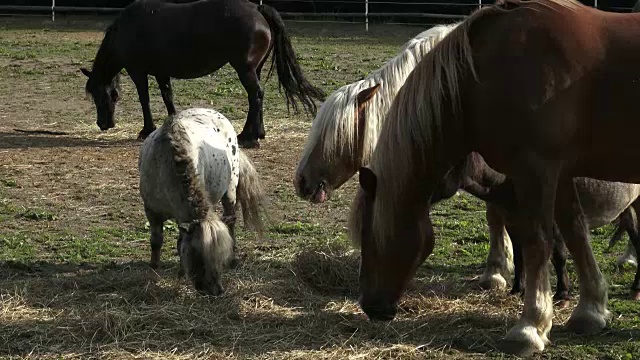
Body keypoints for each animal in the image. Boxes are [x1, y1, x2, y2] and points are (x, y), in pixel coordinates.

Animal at [81, 0, 324, 148]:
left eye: (100, 95)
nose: (103, 124)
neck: (128, 28)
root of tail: (257, 8)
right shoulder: (161, 72)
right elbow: (167, 97)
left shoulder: (138, 72)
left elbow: (145, 100)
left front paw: (146, 130)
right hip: (254, 69)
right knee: (256, 97)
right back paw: (254, 133)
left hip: (245, 69)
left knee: (256, 95)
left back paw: (251, 137)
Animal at [139, 107, 264, 296]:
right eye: (198, 255)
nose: (217, 290)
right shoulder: (152, 210)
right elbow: (156, 241)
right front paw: (154, 270)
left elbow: (179, 242)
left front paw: (181, 273)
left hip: (230, 190)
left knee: (230, 220)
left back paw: (234, 258)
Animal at [348, 0, 640, 354]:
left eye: (369, 234)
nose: (370, 305)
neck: (486, 75)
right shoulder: (561, 172)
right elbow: (575, 232)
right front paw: (590, 311)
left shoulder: (535, 169)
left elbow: (538, 241)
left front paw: (530, 327)